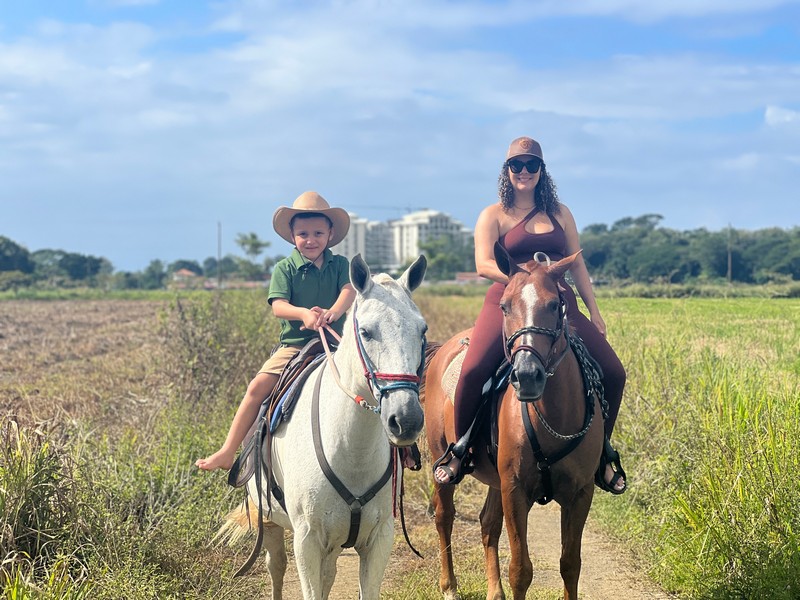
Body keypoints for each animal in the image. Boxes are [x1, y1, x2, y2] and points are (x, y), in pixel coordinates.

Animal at [219, 254, 428, 600]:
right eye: (366, 332)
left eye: (422, 330)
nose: (406, 419)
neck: (351, 448)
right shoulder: (307, 540)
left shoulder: (379, 538)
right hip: (272, 524)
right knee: (276, 568)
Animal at [424, 244, 600, 600]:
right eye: (504, 306)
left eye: (555, 304)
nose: (527, 375)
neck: (554, 418)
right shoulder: (515, 489)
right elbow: (521, 570)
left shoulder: (580, 493)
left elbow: (570, 564)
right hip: (442, 459)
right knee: (444, 516)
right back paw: (449, 587)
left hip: (495, 478)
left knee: (487, 523)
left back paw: (494, 592)